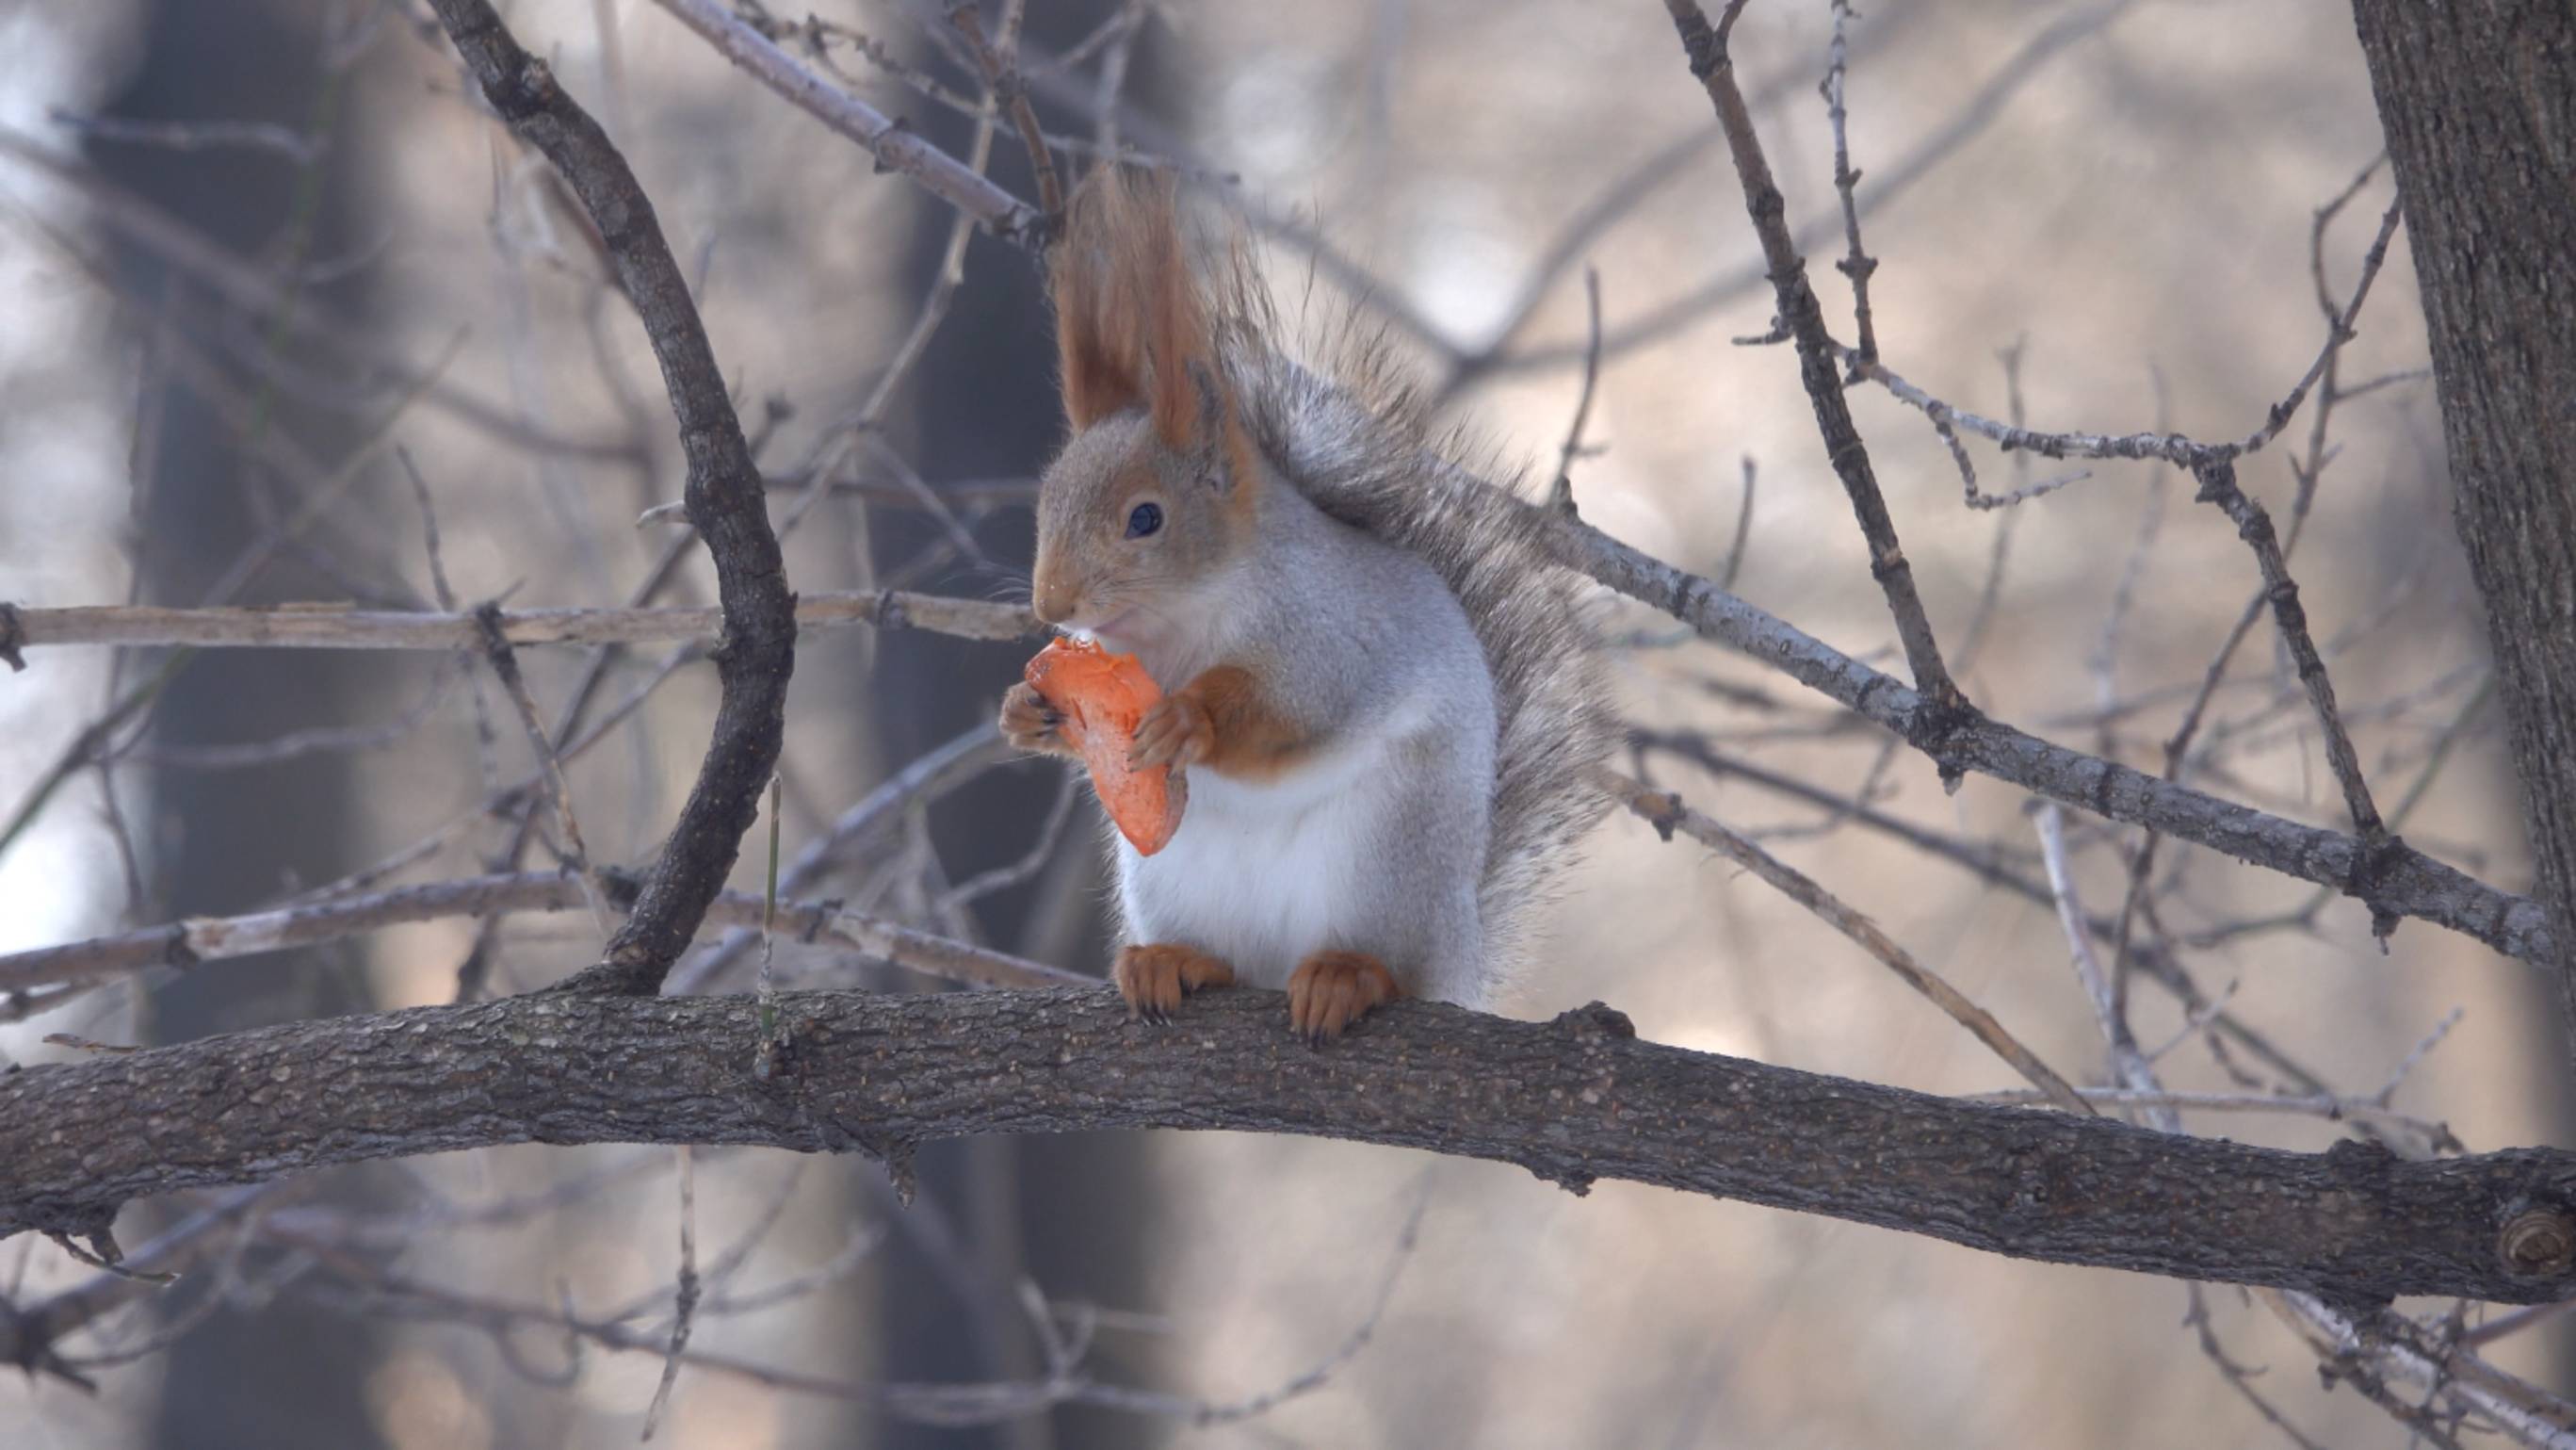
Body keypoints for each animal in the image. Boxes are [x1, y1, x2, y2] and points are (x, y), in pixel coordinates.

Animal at [999, 164, 1607, 1040]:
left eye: (1145, 518)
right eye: (1045, 501)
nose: (1053, 602)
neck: (1176, 629)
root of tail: (1459, 956)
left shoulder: (1332, 631)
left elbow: (1298, 702)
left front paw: (1190, 719)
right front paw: (1026, 711)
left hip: (1384, 856)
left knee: (1388, 966)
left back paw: (1348, 975)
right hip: (1169, 875)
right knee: (1223, 957)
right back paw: (1174, 960)